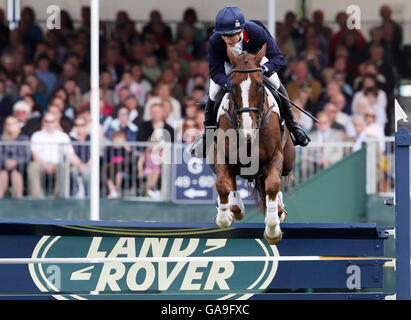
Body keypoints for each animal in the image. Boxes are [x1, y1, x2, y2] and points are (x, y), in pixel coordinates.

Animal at [209, 43, 296, 245]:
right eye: (232, 86)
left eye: (259, 84)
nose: (247, 132)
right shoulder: (222, 155)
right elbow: (222, 184)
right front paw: (224, 216)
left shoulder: (275, 156)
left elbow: (272, 184)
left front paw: (272, 230)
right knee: (231, 179)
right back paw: (235, 206)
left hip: (288, 160)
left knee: (275, 179)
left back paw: (279, 209)